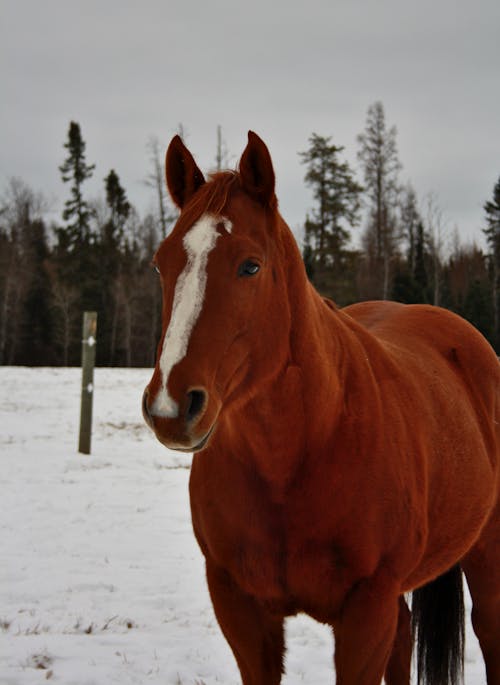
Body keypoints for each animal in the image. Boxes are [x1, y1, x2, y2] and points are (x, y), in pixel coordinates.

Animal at [142, 132, 500, 684]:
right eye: (161, 263)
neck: (297, 456)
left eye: (250, 265)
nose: (170, 407)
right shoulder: (240, 610)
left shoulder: (364, 612)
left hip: (486, 558)